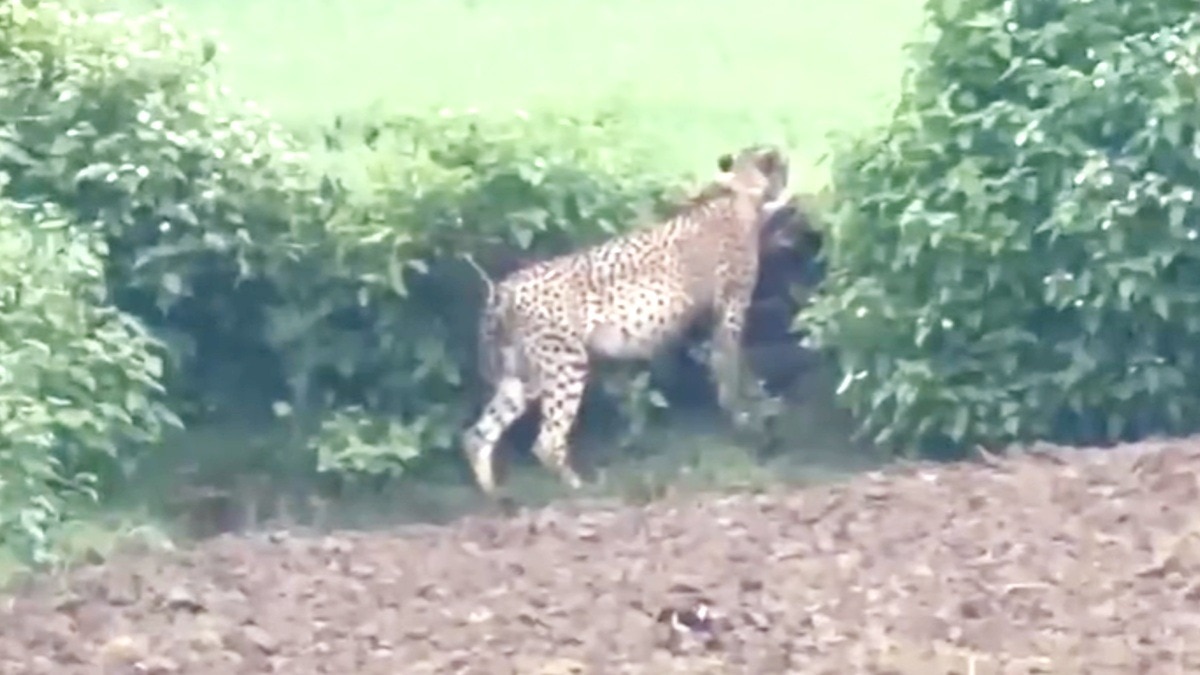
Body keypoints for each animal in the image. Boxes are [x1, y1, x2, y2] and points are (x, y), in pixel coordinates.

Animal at [461, 145, 796, 495]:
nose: (787, 174)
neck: (741, 190)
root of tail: (506, 286)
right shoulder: (730, 310)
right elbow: (731, 366)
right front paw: (745, 419)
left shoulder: (709, 318)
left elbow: (723, 365)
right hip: (565, 364)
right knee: (547, 441)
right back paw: (579, 487)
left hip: (521, 374)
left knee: (477, 434)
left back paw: (493, 493)